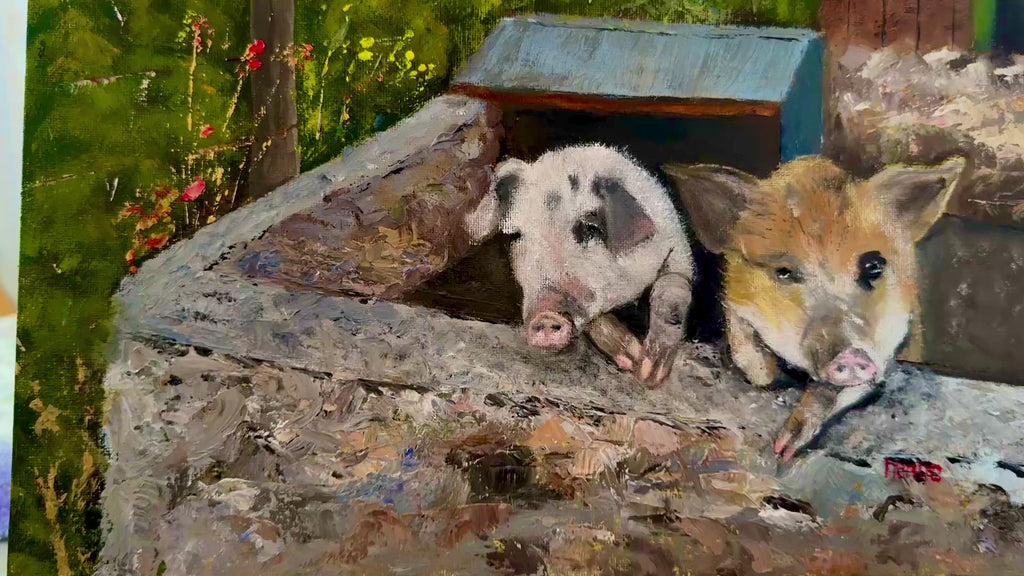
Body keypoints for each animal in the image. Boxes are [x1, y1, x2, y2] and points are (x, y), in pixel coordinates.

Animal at [465, 144, 695, 386]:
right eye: (517, 235)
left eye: (590, 228)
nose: (546, 314)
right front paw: (631, 359)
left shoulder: (677, 246)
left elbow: (674, 291)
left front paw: (649, 373)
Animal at [663, 155, 968, 460]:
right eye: (784, 272)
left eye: (873, 266)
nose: (851, 356)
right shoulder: (735, 303)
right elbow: (753, 362)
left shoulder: (888, 349)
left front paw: (785, 448)